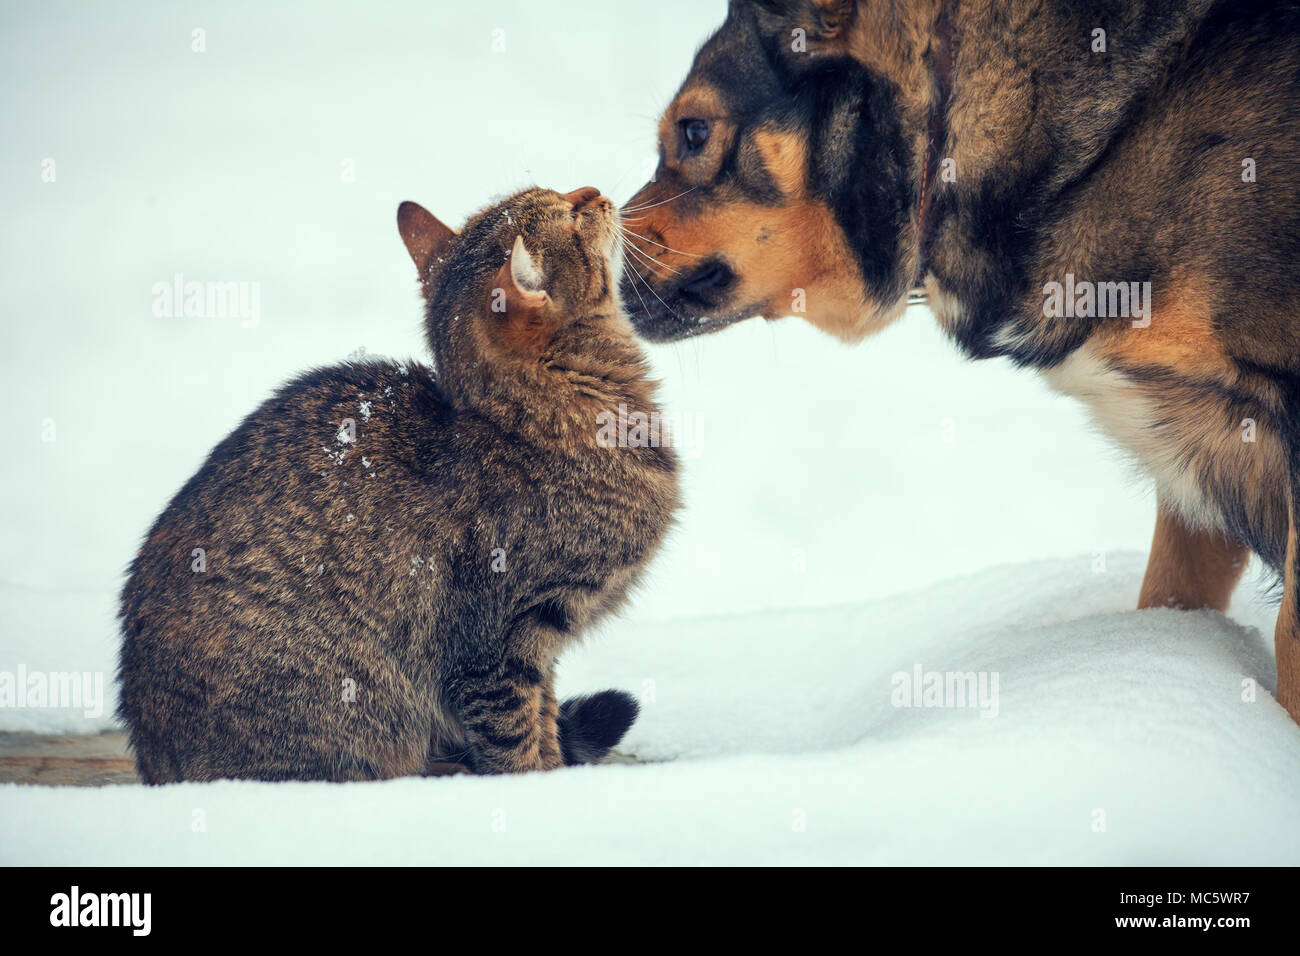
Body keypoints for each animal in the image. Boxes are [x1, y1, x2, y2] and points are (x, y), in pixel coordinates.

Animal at [116, 183, 681, 780]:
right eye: (571, 214)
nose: (594, 192)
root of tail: (153, 762)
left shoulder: (540, 650)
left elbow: (545, 719)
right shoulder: (494, 647)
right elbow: (514, 739)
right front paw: (536, 784)